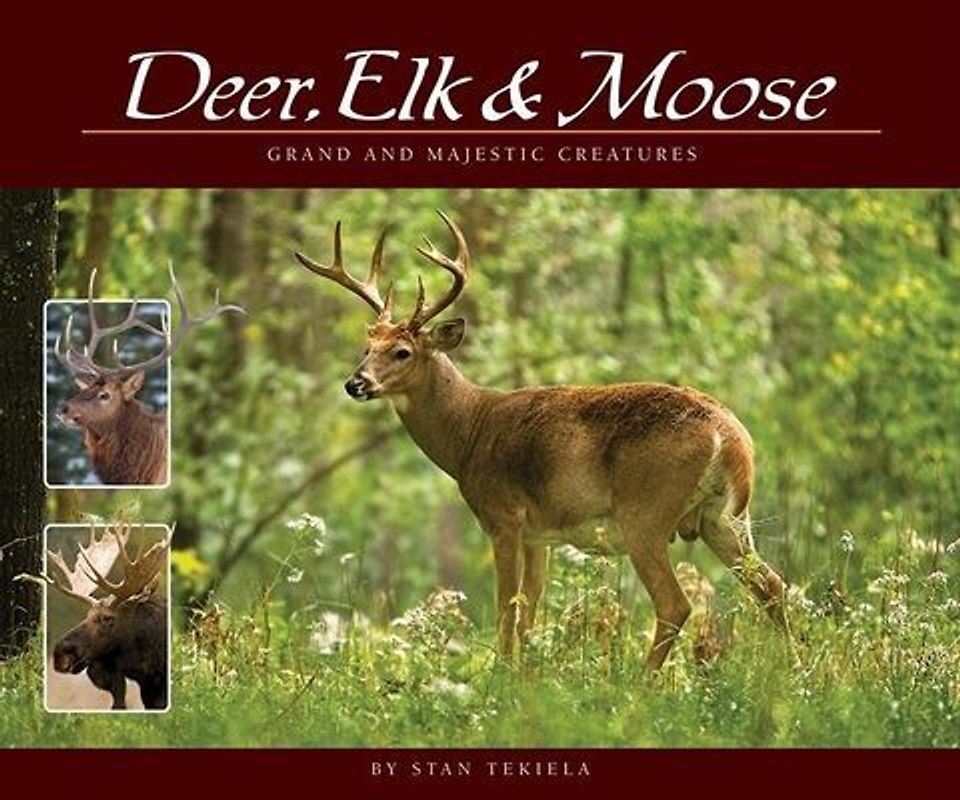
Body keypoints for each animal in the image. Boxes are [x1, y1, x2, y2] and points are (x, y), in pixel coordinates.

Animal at [295, 211, 789, 671]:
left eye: (402, 352)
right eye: (367, 348)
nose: (355, 384)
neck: (470, 432)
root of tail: (730, 436)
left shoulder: (503, 516)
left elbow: (506, 610)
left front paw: (498, 677)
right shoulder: (541, 534)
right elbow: (529, 615)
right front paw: (523, 678)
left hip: (646, 514)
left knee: (675, 603)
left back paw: (642, 685)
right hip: (725, 518)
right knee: (773, 587)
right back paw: (795, 672)